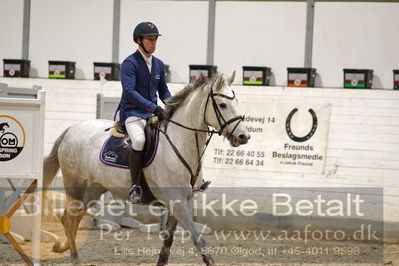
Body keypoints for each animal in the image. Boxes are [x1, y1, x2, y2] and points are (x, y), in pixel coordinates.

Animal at [43, 71, 250, 264]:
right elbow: (198, 240)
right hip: (75, 186)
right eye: (222, 105)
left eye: (238, 102)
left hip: (93, 189)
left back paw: (65, 249)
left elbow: (168, 242)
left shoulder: (180, 202)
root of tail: (71, 129)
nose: (243, 137)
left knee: (71, 219)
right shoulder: (177, 202)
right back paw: (74, 259)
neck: (179, 142)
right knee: (69, 219)